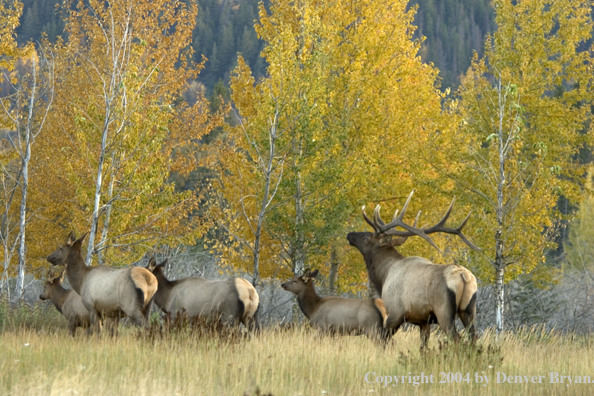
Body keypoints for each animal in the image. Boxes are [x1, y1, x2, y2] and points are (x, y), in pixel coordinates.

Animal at [346, 190, 476, 348]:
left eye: (366, 237)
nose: (349, 234)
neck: (384, 275)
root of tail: (464, 276)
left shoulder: (394, 313)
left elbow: (383, 341)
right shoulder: (423, 321)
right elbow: (423, 347)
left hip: (444, 311)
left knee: (457, 340)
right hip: (469, 310)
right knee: (474, 338)